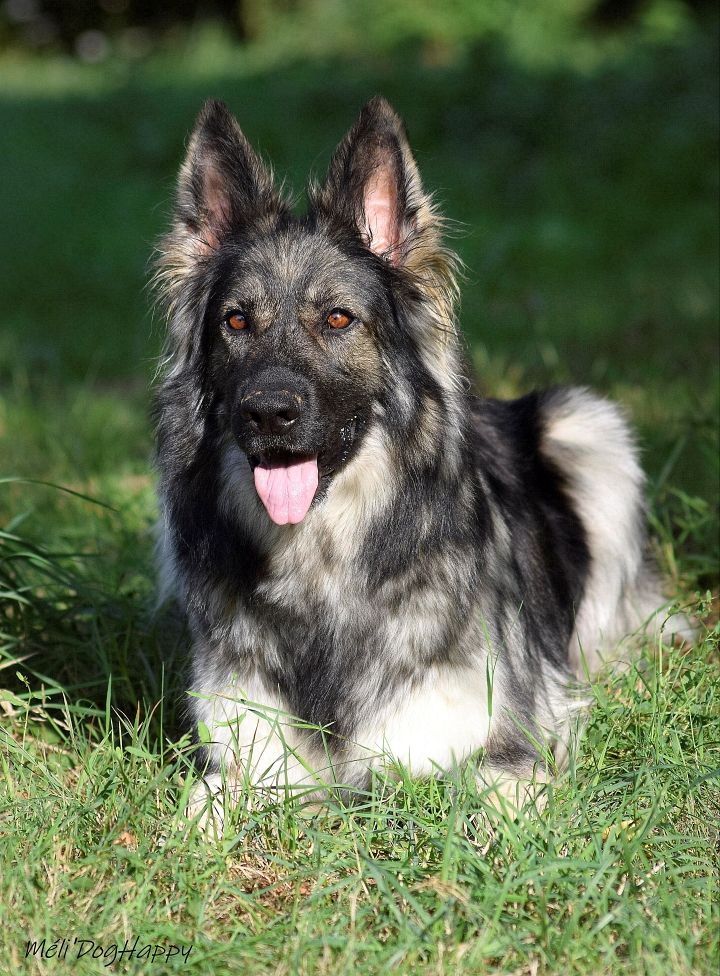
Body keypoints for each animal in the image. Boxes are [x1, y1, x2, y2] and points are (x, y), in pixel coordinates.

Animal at [153, 97, 680, 827]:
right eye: (236, 323)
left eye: (338, 319)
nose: (267, 412)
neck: (323, 564)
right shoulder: (241, 762)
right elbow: (192, 817)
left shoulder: (500, 750)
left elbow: (480, 804)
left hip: (589, 425)